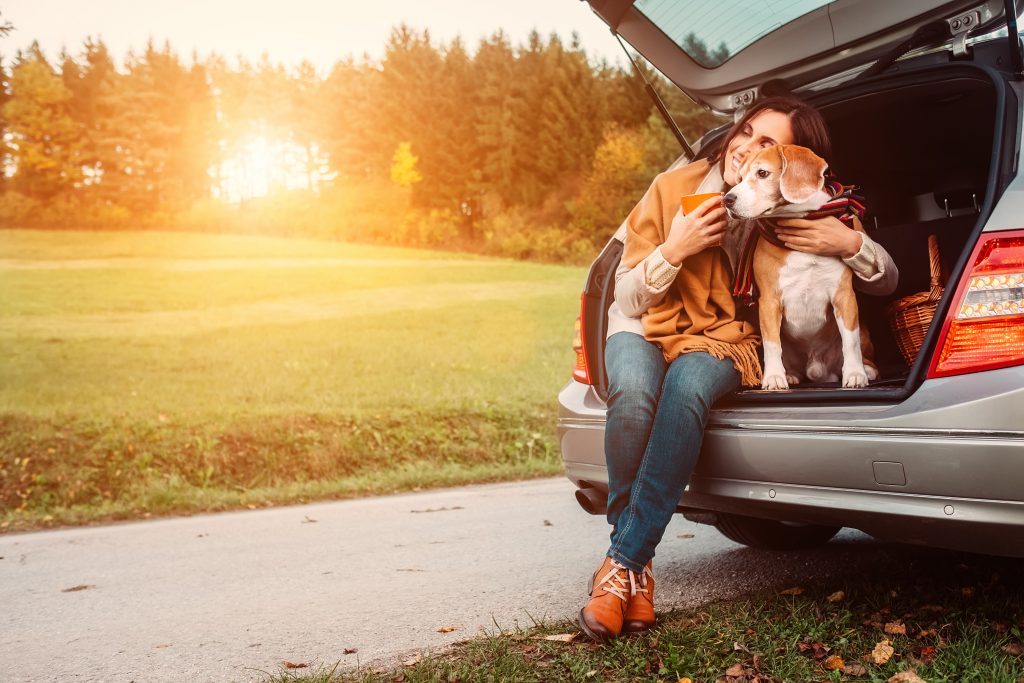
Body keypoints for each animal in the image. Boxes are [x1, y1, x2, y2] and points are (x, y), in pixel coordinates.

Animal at [724, 144, 876, 389]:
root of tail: (816, 368)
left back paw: (868, 370)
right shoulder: (769, 302)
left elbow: (850, 342)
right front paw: (774, 377)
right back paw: (790, 374)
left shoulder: (844, 296)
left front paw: (855, 373)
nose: (727, 199)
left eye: (762, 173)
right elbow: (772, 345)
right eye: (739, 178)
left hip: (863, 329)